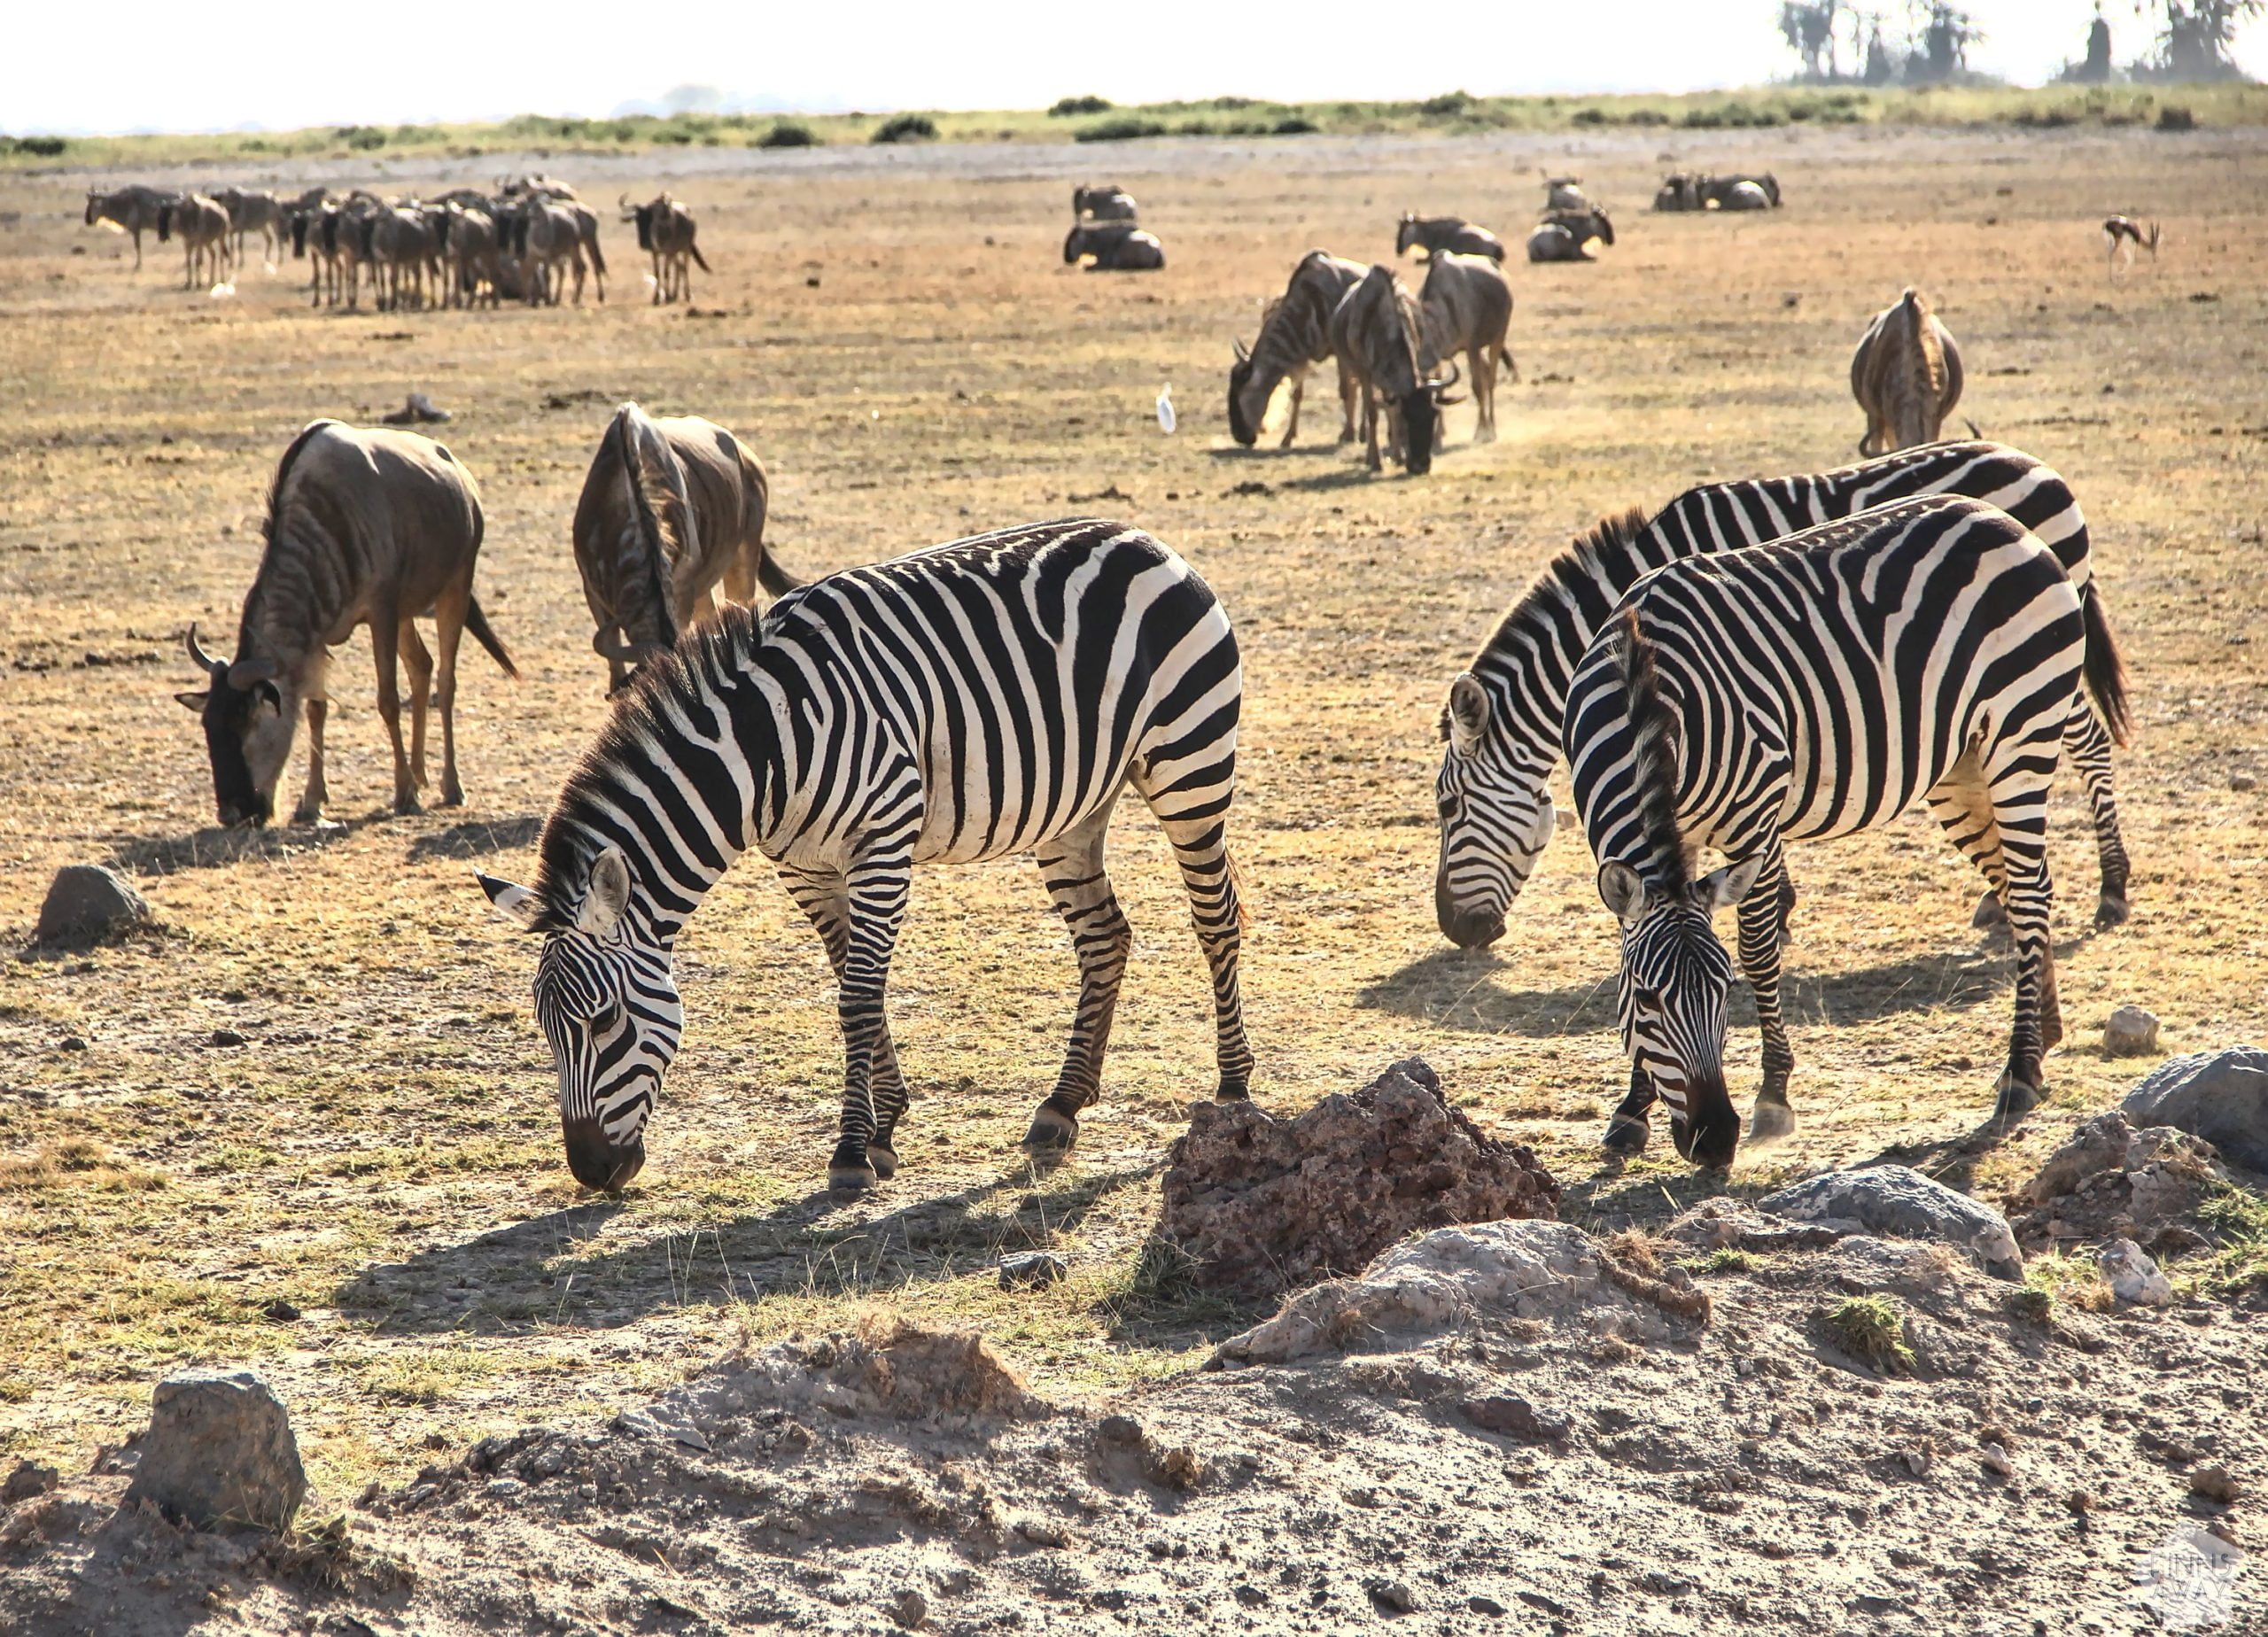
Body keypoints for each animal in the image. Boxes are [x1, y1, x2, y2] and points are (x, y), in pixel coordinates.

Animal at [476, 518, 1255, 1193]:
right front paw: (885, 1130)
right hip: (1075, 810)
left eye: (605, 1020)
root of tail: (1140, 536)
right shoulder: (803, 867)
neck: (764, 747)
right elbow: (856, 983)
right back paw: (1061, 1105)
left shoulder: (882, 840)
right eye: (545, 1030)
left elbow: (855, 997)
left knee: (1215, 919)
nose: (591, 1172)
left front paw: (851, 1151)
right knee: (1103, 937)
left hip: (1190, 763)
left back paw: (1233, 1088)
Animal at [1433, 441, 2132, 951]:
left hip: (2035, 647)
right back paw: (2003, 895)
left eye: (1447, 807)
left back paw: (2112, 886)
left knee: (2088, 742)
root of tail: (2042, 467)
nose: (1455, 931)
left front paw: (1777, 905)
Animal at [1563, 496, 2088, 1166]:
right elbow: (1630, 954)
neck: (1642, 683)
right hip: (1961, 766)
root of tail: (2001, 519)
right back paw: (2045, 1033)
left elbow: (1760, 952)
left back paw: (2020, 1070)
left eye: (1721, 990)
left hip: (2023, 736)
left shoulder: (1754, 817)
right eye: (1650, 1001)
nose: (1715, 1138)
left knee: (2026, 891)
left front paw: (1774, 1097)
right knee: (2026, 890)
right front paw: (1632, 1109)